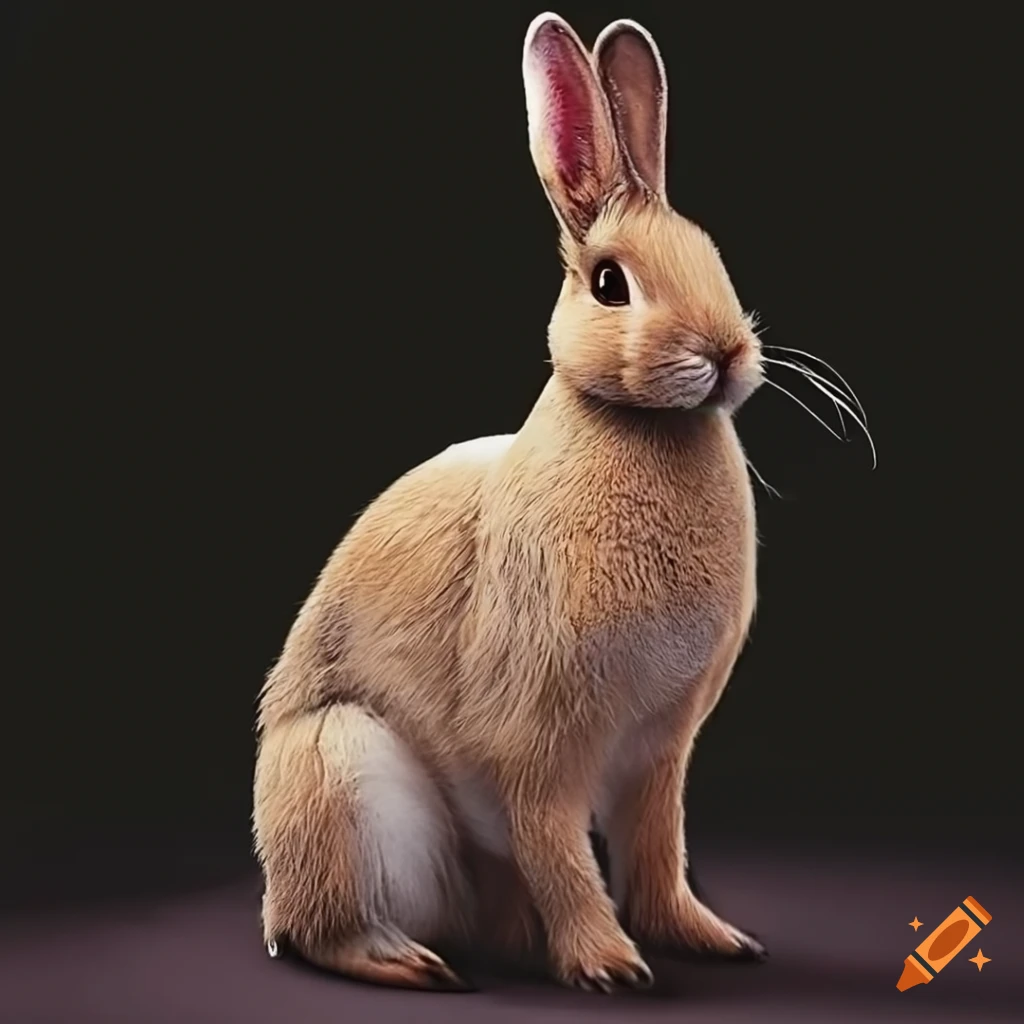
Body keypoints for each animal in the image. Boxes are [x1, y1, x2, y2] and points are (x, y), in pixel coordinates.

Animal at [253, 11, 767, 994]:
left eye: (715, 256)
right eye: (610, 283)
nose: (726, 352)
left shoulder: (660, 753)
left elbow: (656, 853)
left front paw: (711, 939)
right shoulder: (534, 738)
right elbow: (559, 847)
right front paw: (610, 966)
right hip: (343, 777)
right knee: (327, 930)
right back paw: (411, 963)